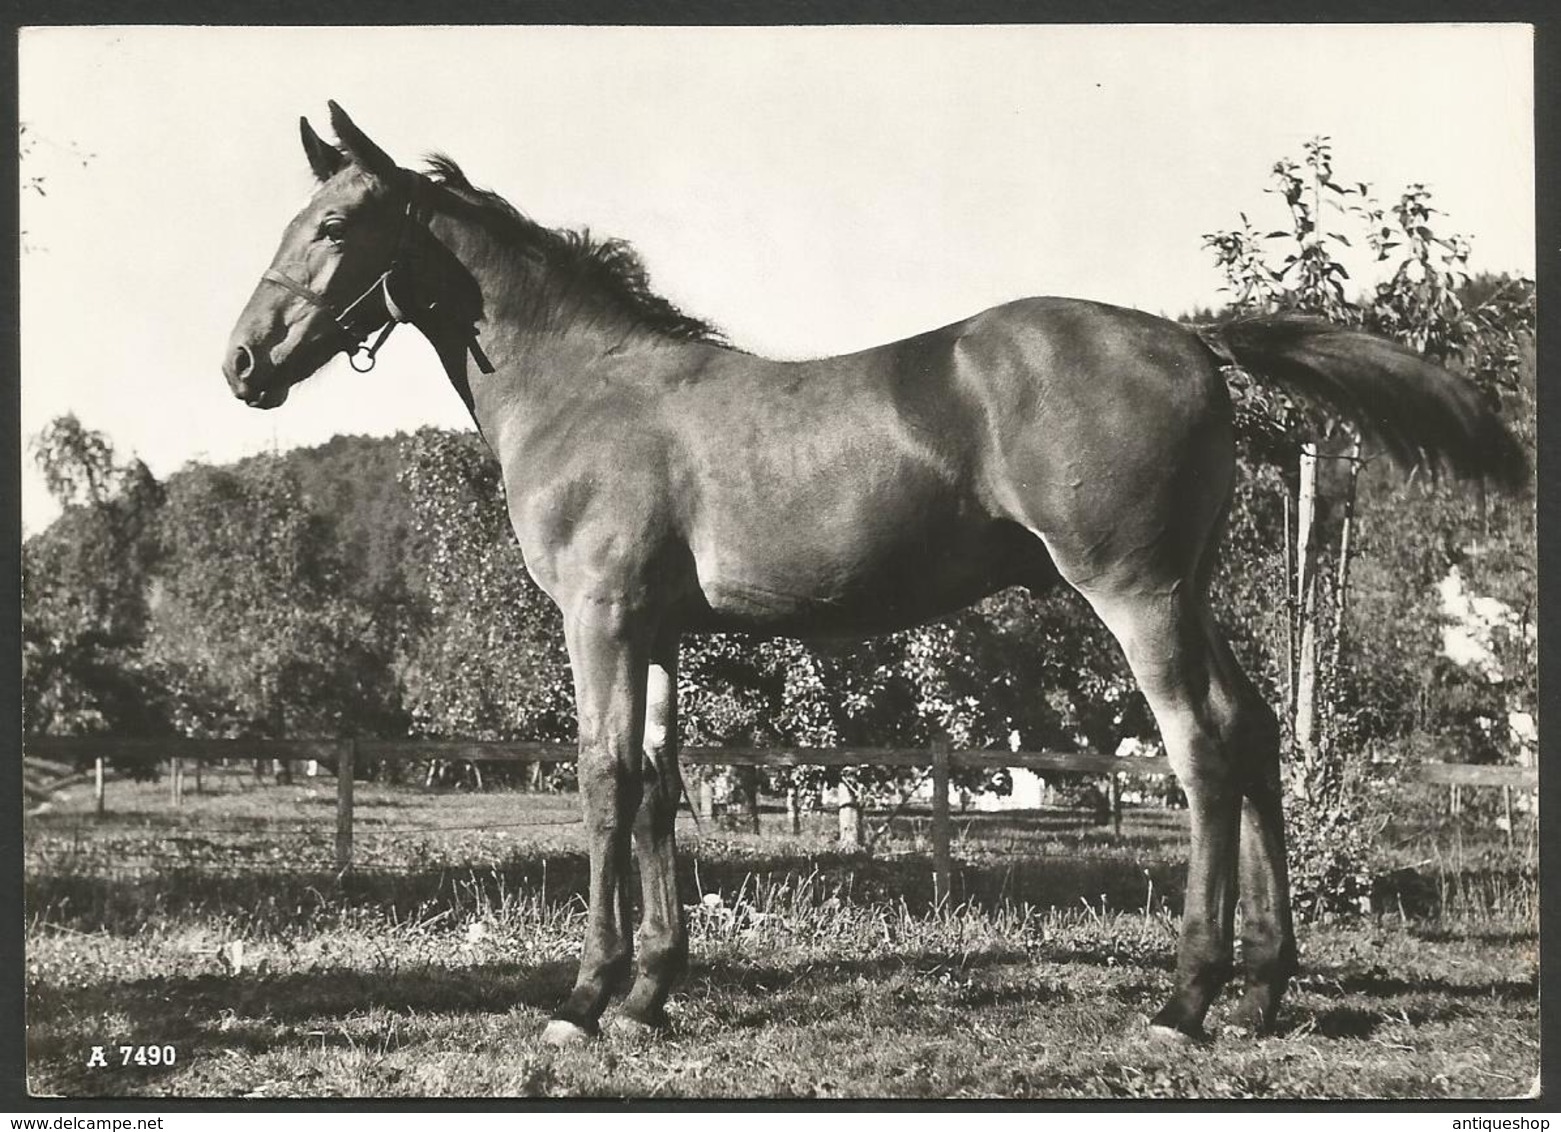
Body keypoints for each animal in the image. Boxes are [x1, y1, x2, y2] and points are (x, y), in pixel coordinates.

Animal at [223, 103, 1523, 1043]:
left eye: (335, 227)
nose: (241, 364)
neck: (588, 386)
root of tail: (1193, 337)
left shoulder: (599, 618)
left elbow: (599, 779)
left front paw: (585, 997)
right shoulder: (660, 630)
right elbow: (656, 781)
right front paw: (649, 995)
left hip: (1137, 594)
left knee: (1200, 744)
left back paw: (1184, 999)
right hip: (1191, 594)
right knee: (1253, 734)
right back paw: (1260, 993)